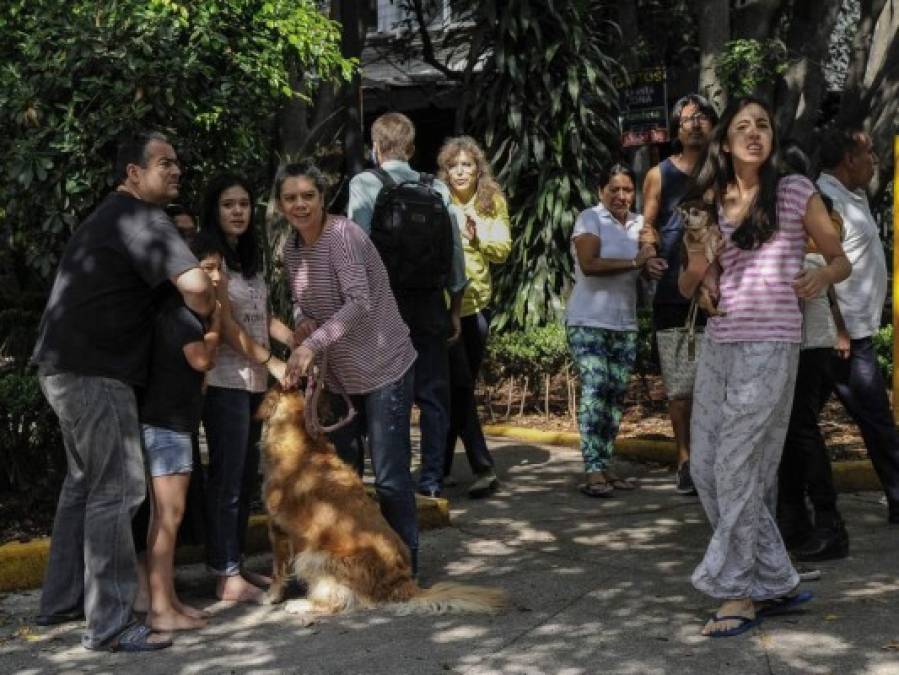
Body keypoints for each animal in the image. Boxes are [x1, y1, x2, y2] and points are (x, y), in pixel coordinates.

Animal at [256, 386, 506, 624]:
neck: (302, 440)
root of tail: (401, 583)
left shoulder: (277, 528)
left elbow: (278, 569)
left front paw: (271, 596)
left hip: (314, 556)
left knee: (338, 603)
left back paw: (299, 604)